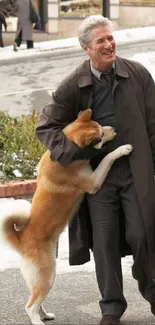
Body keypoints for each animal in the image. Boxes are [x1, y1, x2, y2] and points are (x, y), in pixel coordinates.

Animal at [0, 109, 133, 324]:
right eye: (100, 135)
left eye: (100, 125)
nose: (114, 129)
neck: (71, 152)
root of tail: (21, 240)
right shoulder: (93, 182)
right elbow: (107, 158)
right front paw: (122, 149)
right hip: (47, 275)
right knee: (30, 306)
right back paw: (37, 320)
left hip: (37, 279)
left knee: (36, 300)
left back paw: (44, 315)